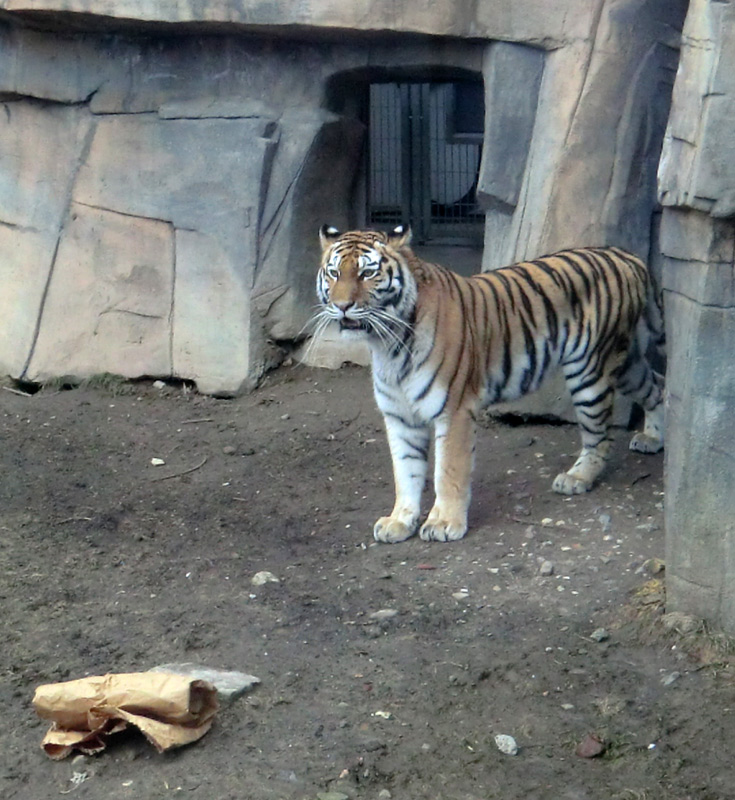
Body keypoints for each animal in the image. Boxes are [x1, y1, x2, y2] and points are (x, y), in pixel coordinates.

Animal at [314, 225, 664, 544]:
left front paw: (444, 523)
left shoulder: (454, 410)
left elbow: (448, 471)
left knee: (600, 436)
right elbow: (406, 472)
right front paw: (399, 521)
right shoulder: (400, 416)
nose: (342, 306)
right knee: (657, 387)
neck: (387, 344)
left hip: (590, 370)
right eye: (334, 273)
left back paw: (576, 477)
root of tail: (627, 255)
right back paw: (653, 438)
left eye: (367, 273)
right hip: (625, 364)